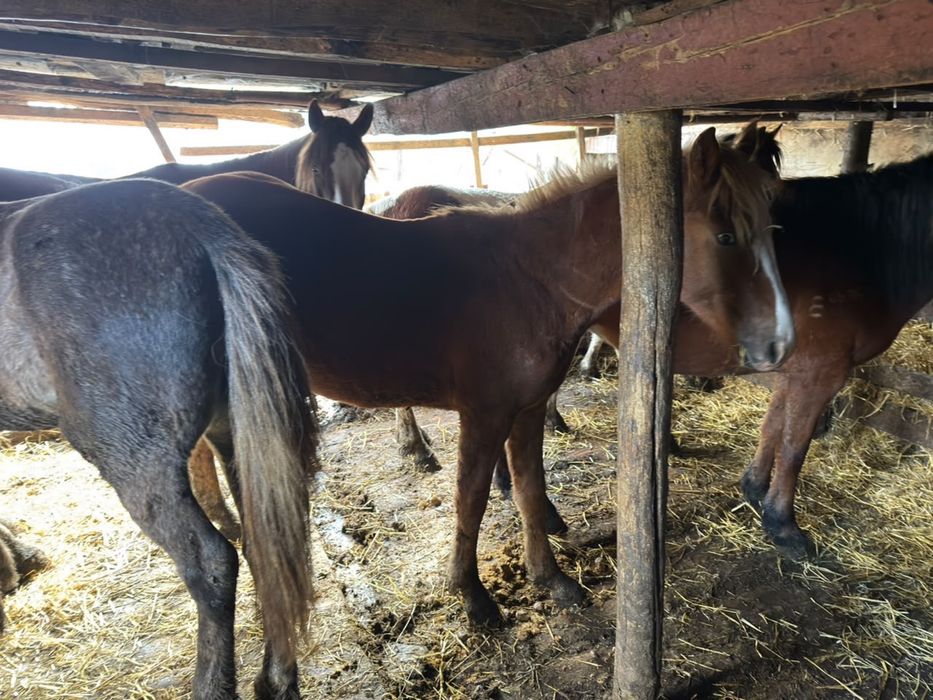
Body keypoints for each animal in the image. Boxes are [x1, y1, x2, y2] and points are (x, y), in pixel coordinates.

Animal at [0, 179, 317, 699]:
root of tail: (200, 230)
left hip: (133, 461)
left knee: (212, 563)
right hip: (234, 437)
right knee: (266, 549)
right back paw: (275, 682)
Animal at [183, 122, 790, 625]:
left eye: (769, 223)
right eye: (726, 236)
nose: (780, 343)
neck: (529, 278)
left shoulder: (526, 408)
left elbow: (528, 488)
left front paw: (551, 578)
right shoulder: (485, 413)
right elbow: (470, 500)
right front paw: (473, 595)